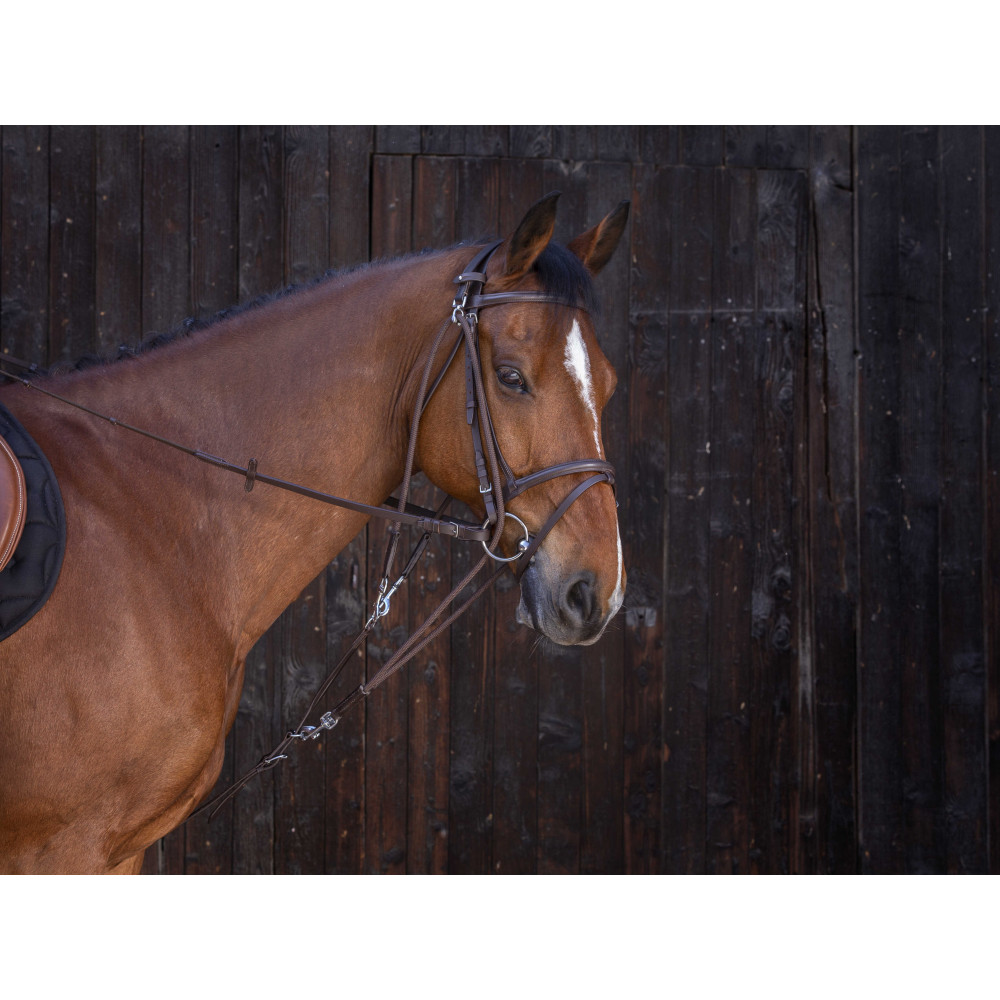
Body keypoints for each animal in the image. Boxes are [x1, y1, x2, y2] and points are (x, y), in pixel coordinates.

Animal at [0, 192, 628, 874]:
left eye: (608, 383)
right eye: (511, 377)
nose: (598, 592)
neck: (143, 506)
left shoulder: (118, 851)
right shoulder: (68, 846)